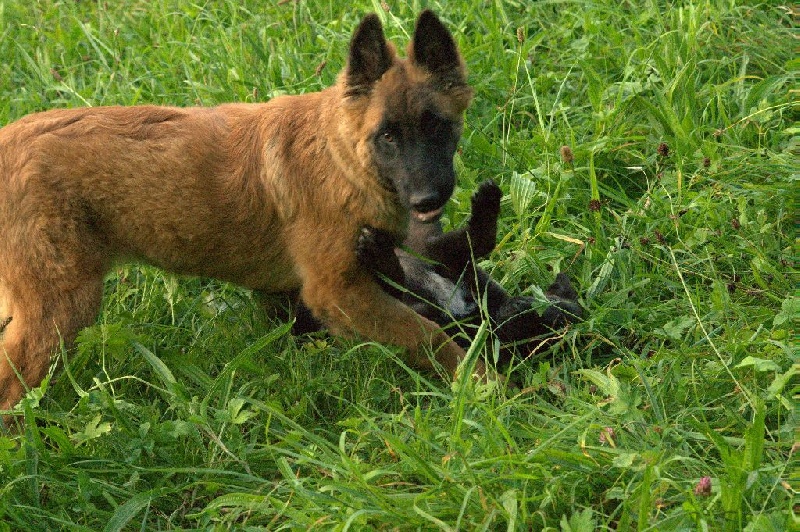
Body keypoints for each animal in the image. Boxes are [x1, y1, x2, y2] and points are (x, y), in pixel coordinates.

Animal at [0, 11, 482, 412]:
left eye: (437, 126)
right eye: (388, 136)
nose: (428, 201)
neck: (341, 157)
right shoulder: (339, 292)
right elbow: (427, 333)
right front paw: (481, 384)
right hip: (60, 310)